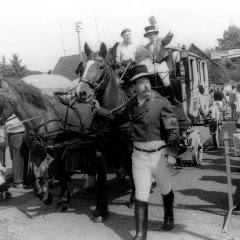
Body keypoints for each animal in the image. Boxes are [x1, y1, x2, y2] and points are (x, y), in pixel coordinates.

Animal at [75, 42, 135, 222]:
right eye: (81, 68)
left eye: (101, 67)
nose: (81, 93)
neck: (111, 113)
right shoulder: (99, 150)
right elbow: (101, 179)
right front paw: (100, 210)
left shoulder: (128, 147)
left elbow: (132, 168)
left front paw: (133, 199)